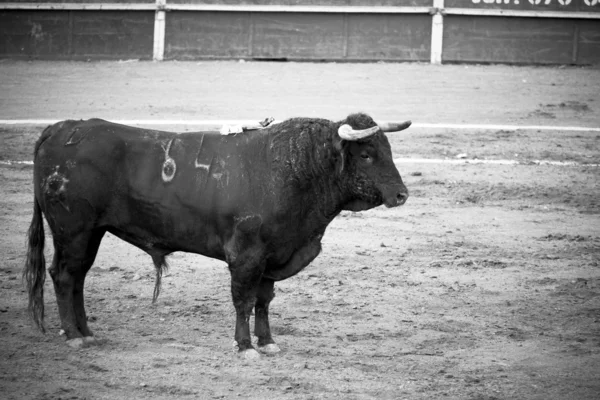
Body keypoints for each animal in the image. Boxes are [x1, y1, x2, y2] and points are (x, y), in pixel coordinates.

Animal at [22, 111, 408, 356]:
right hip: (73, 231)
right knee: (64, 276)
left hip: (92, 233)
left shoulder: (274, 254)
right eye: (367, 154)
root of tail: (61, 128)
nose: (402, 195)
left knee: (78, 278)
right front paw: (244, 346)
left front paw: (267, 342)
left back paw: (87, 333)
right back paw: (74, 336)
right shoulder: (246, 255)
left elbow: (264, 301)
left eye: (388, 150)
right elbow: (243, 300)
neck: (295, 170)